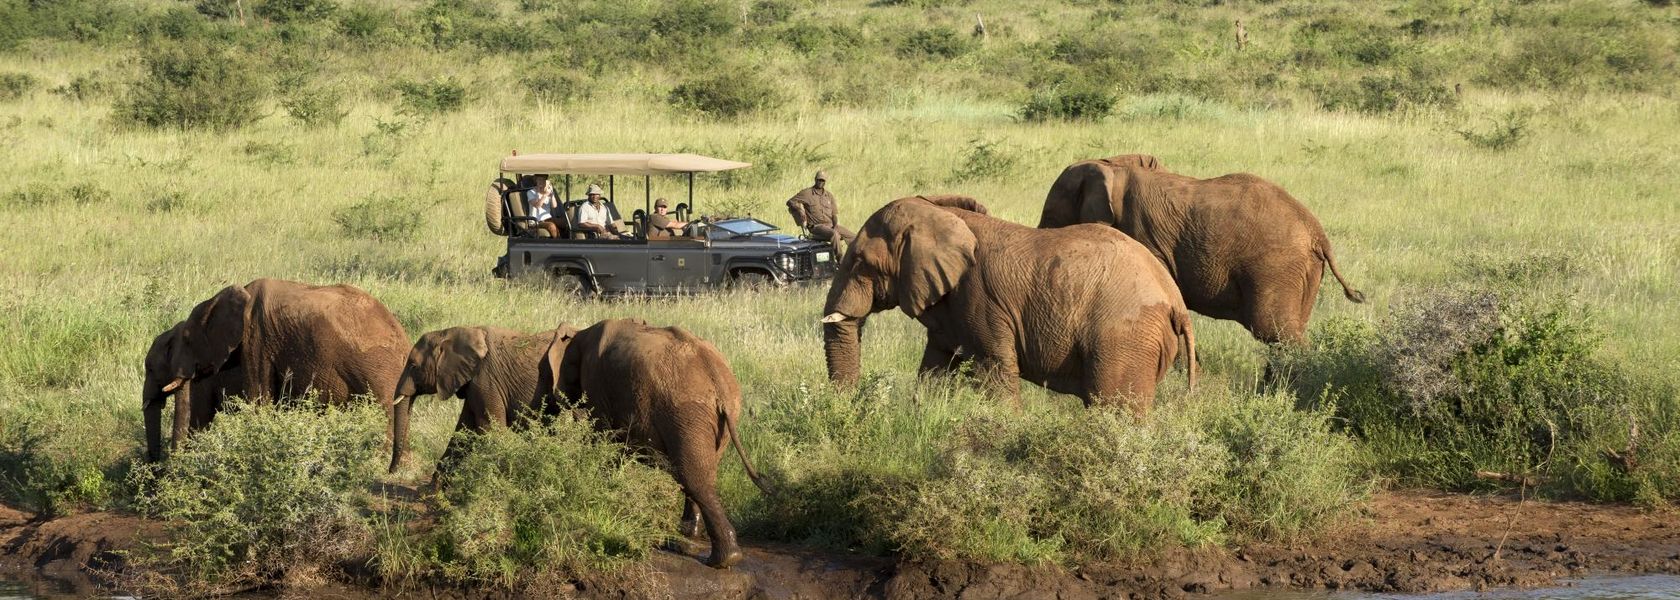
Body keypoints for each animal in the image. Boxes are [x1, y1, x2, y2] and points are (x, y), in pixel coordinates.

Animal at [141, 277, 409, 460]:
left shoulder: (256, 340)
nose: (157, 465)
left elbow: (258, 401)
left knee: (383, 410)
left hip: (376, 368)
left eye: (152, 369)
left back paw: (377, 461)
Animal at [386, 324, 577, 473]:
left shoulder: (486, 379)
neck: (451, 332)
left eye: (413, 366)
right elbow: (463, 430)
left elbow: (490, 430)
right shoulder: (473, 383)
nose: (392, 471)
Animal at [564, 315, 772, 568]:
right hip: (723, 412)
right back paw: (690, 538)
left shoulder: (597, 383)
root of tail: (717, 376)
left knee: (693, 476)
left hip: (686, 411)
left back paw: (719, 559)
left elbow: (606, 444)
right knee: (703, 472)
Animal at [816, 194, 1196, 413]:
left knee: (1114, 409)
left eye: (861, 263)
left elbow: (994, 372)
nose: (849, 408)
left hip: (1124, 338)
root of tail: (1175, 302)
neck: (940, 215)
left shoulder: (981, 300)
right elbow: (935, 368)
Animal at [1034, 152, 1364, 342]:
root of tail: (1317, 233)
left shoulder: (1144, 235)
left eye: (1050, 217)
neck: (1112, 166)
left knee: (1275, 331)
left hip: (1277, 266)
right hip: (1305, 273)